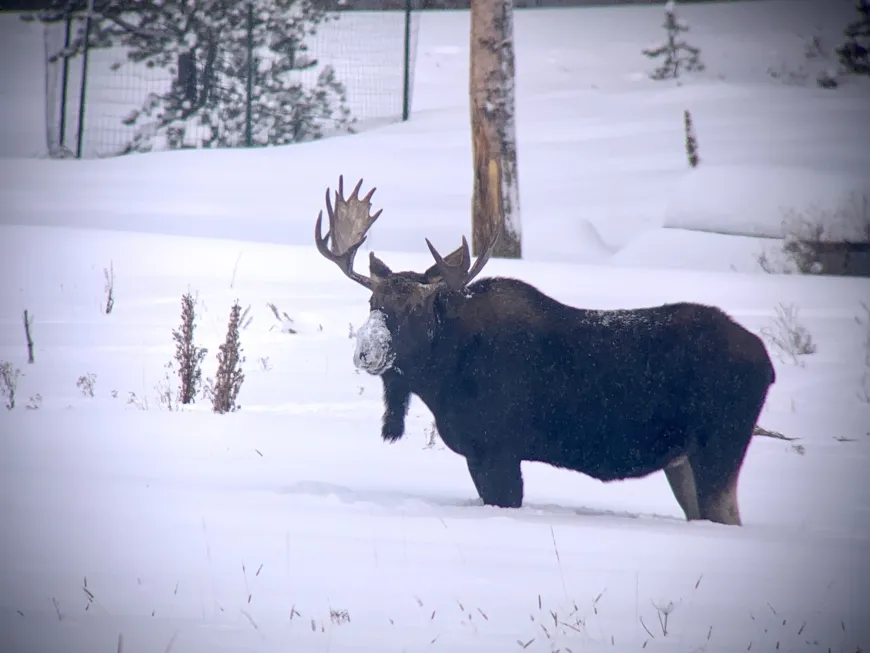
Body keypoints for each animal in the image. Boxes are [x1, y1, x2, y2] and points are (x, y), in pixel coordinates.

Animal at [314, 176, 776, 526]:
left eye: (413, 308)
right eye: (372, 303)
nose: (366, 352)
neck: (442, 378)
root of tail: (767, 363)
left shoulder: (497, 450)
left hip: (720, 446)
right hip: (681, 461)